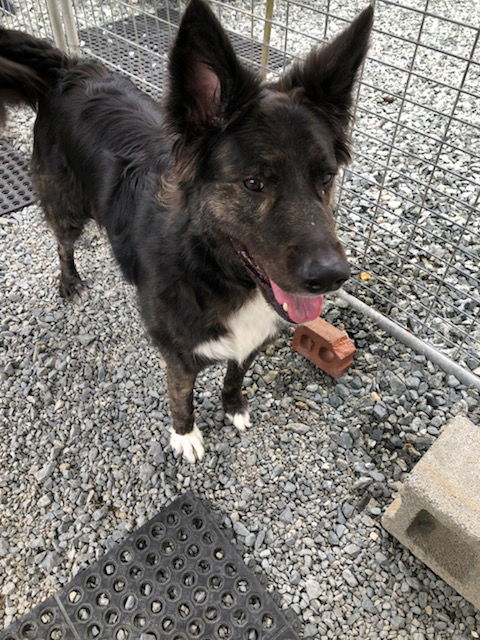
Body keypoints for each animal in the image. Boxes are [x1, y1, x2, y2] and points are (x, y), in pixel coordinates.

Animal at [0, 0, 374, 460]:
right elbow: (181, 394)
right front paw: (185, 435)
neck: (210, 266)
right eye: (254, 183)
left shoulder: (249, 338)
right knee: (62, 243)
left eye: (326, 178)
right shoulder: (178, 351)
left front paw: (233, 407)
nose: (332, 277)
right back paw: (71, 282)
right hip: (65, 205)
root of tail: (69, 69)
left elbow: (234, 374)